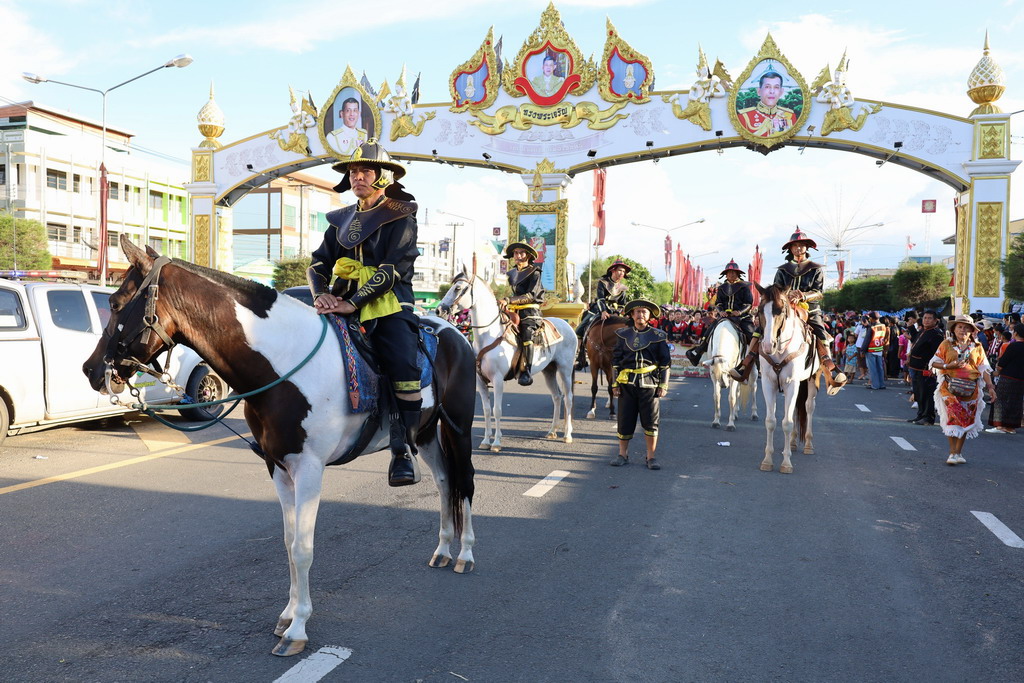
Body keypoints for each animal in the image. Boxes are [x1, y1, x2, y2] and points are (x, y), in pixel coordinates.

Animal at [82, 239, 475, 655]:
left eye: (115, 304)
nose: (90, 369)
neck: (282, 367)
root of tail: (455, 332)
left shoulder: (309, 469)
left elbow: (303, 548)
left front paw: (298, 628)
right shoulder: (278, 466)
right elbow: (288, 544)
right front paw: (288, 614)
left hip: (459, 426)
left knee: (464, 481)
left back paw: (465, 553)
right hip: (426, 432)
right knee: (444, 483)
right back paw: (443, 550)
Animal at [438, 272, 577, 454]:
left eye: (458, 288)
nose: (439, 309)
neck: (487, 336)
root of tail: (568, 327)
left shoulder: (497, 380)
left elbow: (497, 410)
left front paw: (496, 442)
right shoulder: (480, 381)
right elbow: (486, 410)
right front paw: (485, 441)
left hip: (565, 369)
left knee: (568, 398)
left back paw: (567, 435)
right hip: (549, 371)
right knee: (557, 396)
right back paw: (552, 431)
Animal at [757, 282, 819, 475]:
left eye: (781, 310)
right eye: (760, 310)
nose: (768, 345)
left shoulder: (792, 384)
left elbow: (787, 423)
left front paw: (786, 463)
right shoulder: (768, 384)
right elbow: (771, 421)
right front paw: (767, 460)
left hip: (812, 379)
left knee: (808, 407)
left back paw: (808, 444)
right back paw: (791, 443)